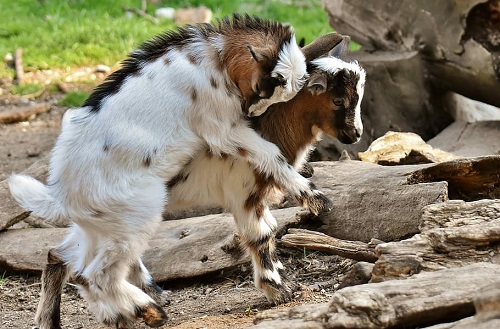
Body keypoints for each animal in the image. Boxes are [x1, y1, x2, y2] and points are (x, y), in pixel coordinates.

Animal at [8, 14, 336, 326]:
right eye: (263, 87)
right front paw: (314, 198)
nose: (252, 113)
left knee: (67, 260)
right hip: (137, 212)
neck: (214, 59)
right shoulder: (221, 127)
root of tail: (62, 191)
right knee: (95, 273)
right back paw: (147, 310)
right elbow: (268, 152)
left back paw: (75, 317)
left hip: (103, 225)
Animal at [166, 35, 366, 302]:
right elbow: (259, 234)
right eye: (337, 100)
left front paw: (284, 279)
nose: (356, 134)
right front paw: (277, 289)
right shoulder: (243, 191)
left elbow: (271, 229)